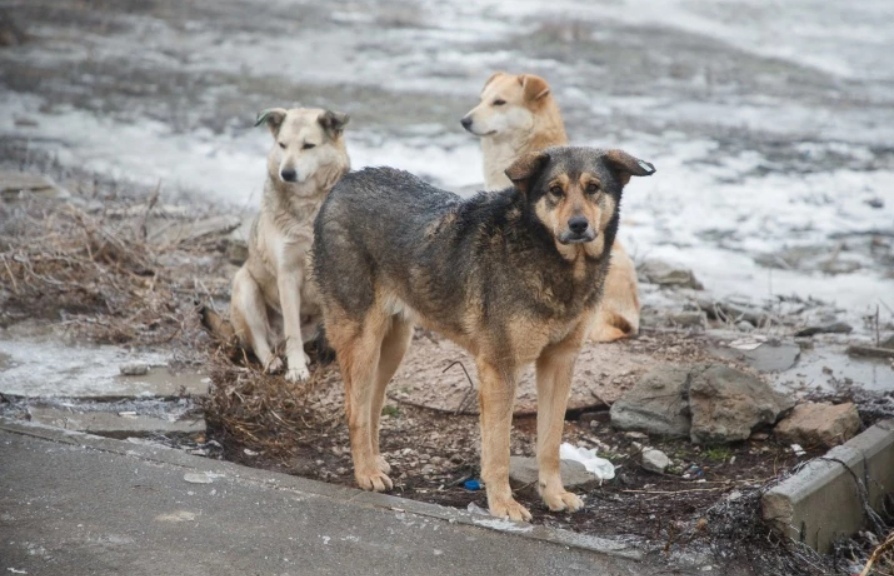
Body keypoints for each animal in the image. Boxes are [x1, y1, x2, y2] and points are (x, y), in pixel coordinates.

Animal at [231, 107, 350, 382]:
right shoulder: (287, 274)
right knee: (261, 342)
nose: (286, 173)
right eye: (282, 145)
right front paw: (296, 369)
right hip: (245, 286)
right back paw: (275, 361)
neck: (308, 207)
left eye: (308, 146)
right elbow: (292, 331)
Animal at [312, 145, 656, 520]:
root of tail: (343, 184)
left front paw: (554, 495)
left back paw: (375, 462)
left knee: (373, 402)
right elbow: (499, 450)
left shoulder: (559, 362)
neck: (549, 258)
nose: (578, 225)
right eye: (555, 190)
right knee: (354, 410)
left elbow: (550, 443)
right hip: (363, 341)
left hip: (394, 345)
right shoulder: (499, 368)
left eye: (593, 188)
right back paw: (366, 473)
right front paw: (503, 504)